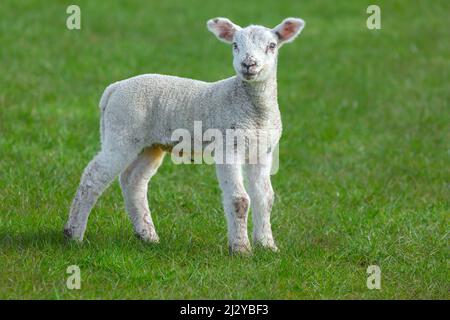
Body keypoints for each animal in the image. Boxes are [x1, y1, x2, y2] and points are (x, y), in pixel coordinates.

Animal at [64, 16, 306, 255]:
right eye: (235, 45)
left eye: (272, 46)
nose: (248, 64)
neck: (254, 110)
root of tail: (114, 88)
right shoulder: (228, 147)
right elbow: (240, 200)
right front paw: (241, 249)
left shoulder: (263, 151)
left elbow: (265, 198)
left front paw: (267, 245)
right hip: (121, 132)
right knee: (93, 176)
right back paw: (73, 234)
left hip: (149, 144)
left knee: (133, 180)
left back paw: (147, 235)